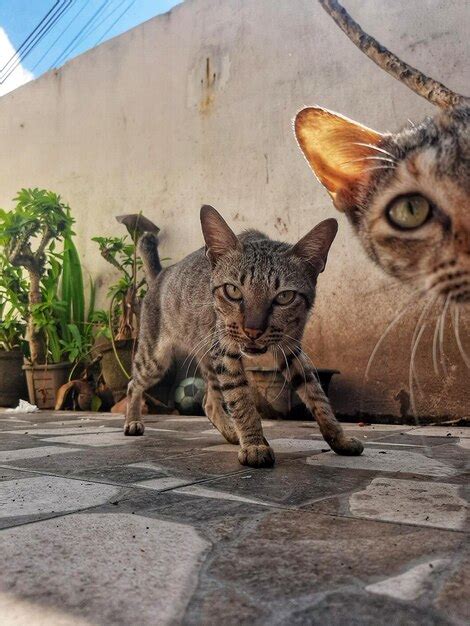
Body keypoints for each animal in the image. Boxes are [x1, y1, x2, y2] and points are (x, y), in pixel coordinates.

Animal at [124, 205, 364, 464]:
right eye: (232, 290)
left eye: (285, 297)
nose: (253, 330)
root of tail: (161, 274)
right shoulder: (225, 350)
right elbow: (241, 399)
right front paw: (254, 444)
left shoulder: (290, 349)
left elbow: (316, 395)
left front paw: (338, 438)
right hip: (156, 358)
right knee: (133, 383)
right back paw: (133, 421)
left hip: (207, 358)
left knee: (209, 402)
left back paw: (231, 432)